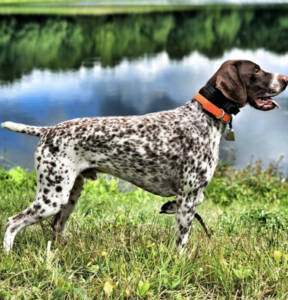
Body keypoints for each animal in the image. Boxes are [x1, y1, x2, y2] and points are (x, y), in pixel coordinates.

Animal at [2, 59, 288, 253]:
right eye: (256, 71)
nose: (285, 79)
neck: (203, 117)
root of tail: (47, 130)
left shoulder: (191, 199)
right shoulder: (188, 199)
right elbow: (181, 242)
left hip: (70, 194)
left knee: (57, 226)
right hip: (52, 196)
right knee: (13, 222)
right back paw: (9, 253)